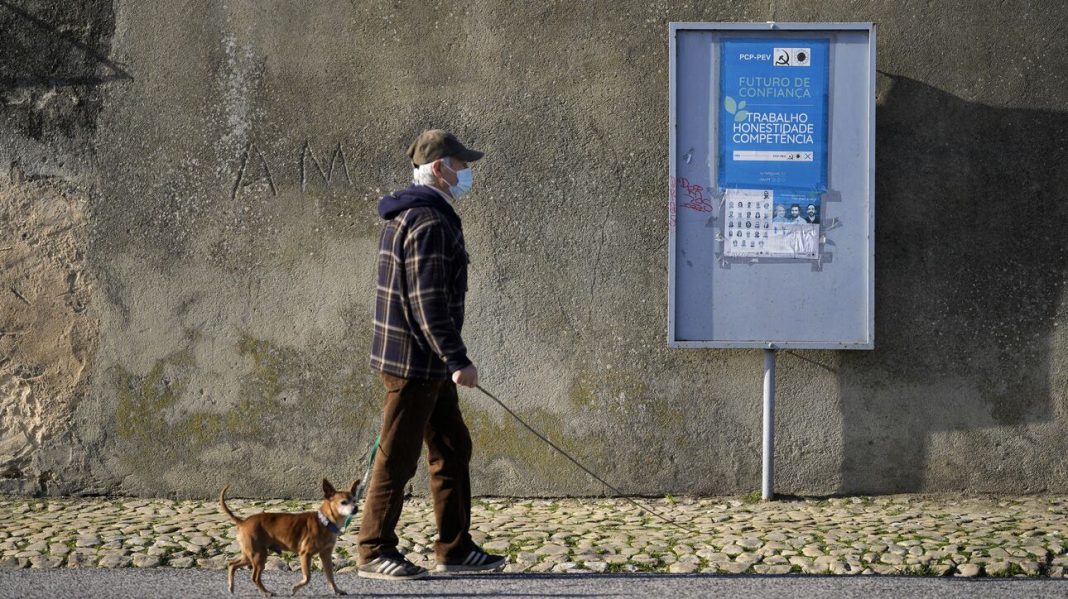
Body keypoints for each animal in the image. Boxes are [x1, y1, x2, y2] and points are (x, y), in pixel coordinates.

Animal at [218, 478, 356, 593]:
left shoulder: (326, 555)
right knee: (254, 577)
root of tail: (243, 522)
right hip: (259, 555)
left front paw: (337, 591)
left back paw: (231, 587)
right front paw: (294, 589)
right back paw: (266, 593)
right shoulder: (305, 554)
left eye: (355, 501)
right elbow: (307, 577)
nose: (356, 508)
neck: (325, 521)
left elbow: (330, 577)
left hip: (250, 554)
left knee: (232, 564)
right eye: (343, 502)